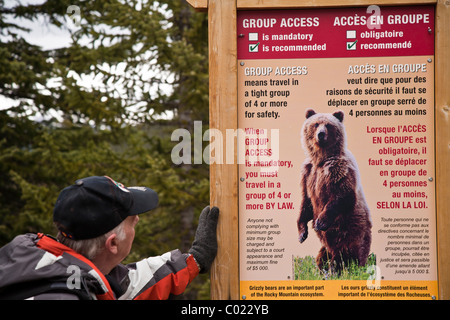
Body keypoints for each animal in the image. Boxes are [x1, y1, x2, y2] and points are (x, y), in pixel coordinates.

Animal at [298, 109, 370, 274]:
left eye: (328, 125)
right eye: (316, 124)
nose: (320, 134)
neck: (321, 160)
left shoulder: (339, 169)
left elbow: (343, 196)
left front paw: (320, 222)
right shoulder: (308, 174)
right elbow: (306, 202)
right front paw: (302, 234)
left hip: (350, 234)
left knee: (343, 255)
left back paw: (335, 270)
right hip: (327, 246)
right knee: (321, 256)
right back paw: (322, 270)